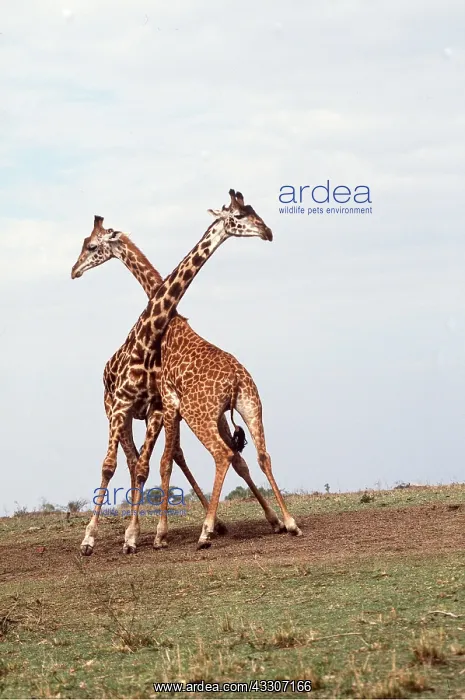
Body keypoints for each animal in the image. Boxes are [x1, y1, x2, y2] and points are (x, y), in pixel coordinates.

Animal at [71, 189, 274, 555]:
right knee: (134, 460)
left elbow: (151, 465)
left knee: (208, 457)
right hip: (119, 412)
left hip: (196, 413)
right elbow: (117, 466)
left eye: (91, 246)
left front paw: (139, 535)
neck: (151, 337)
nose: (74, 270)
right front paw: (94, 538)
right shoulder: (128, 406)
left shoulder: (158, 408)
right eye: (241, 215)